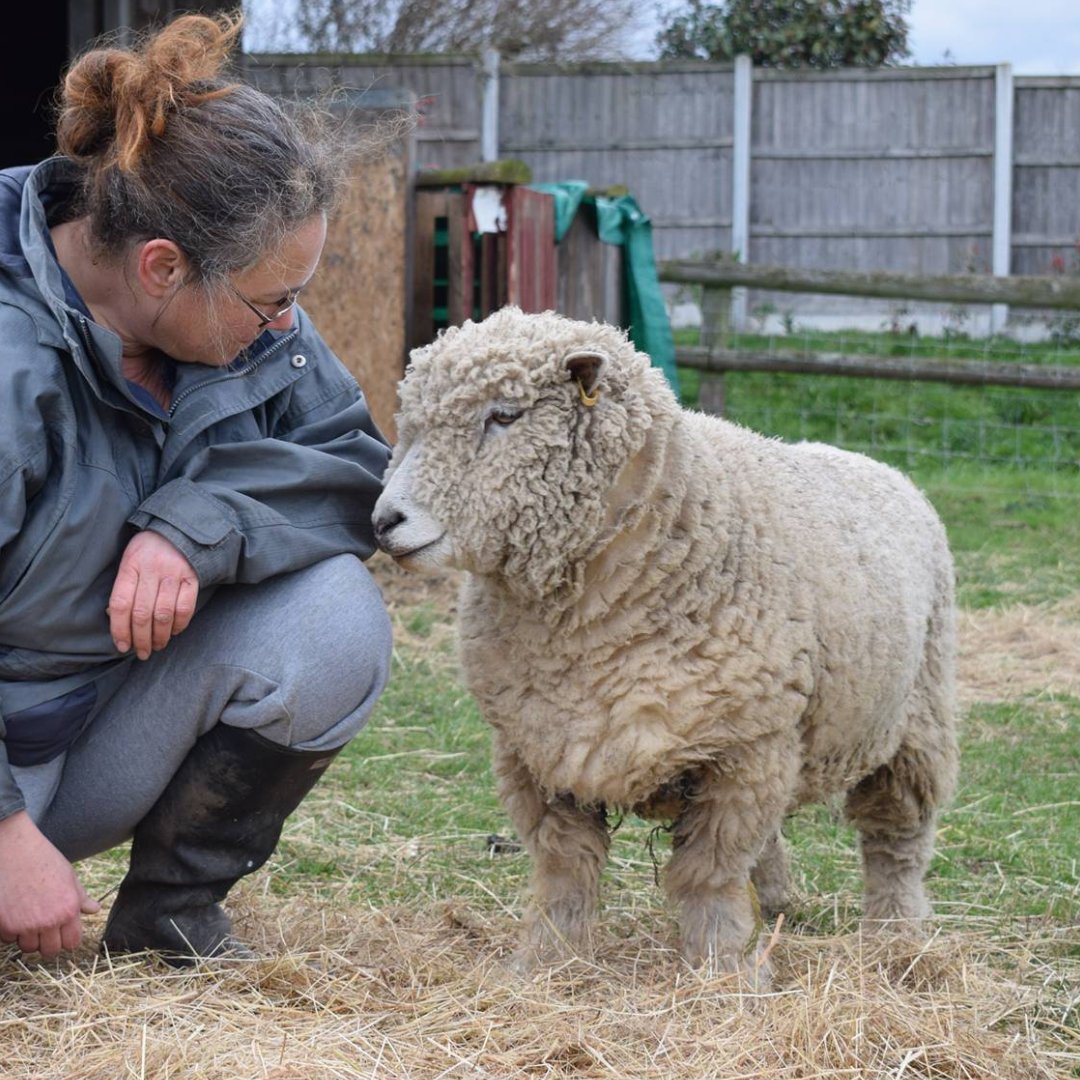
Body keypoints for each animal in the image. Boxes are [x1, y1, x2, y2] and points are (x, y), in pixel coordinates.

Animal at [373, 307, 958, 984]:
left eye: (505, 416)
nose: (384, 522)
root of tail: (878, 465)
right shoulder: (535, 746)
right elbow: (564, 868)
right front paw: (544, 962)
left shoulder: (743, 749)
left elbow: (710, 873)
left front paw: (724, 972)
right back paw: (778, 902)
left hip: (915, 718)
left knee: (897, 837)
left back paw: (897, 938)